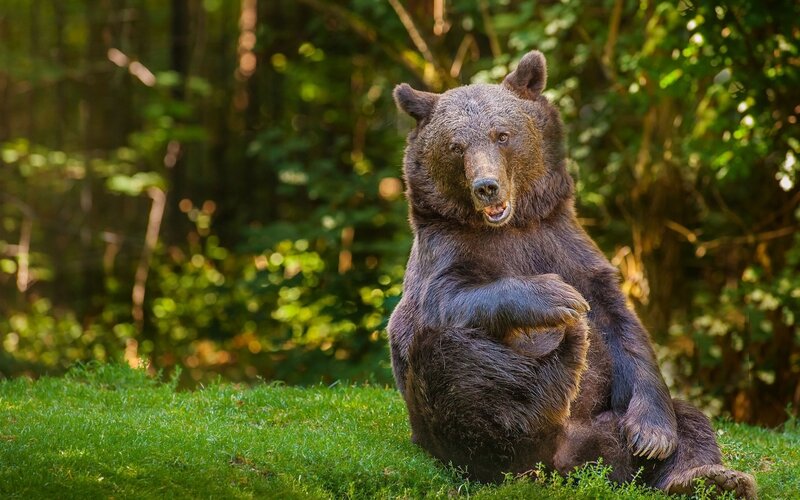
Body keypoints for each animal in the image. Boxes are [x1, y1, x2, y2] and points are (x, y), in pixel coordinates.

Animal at [387, 49, 757, 498]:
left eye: (502, 135)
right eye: (456, 146)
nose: (486, 186)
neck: (511, 225)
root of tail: (565, 463)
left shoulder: (563, 242)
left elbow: (621, 325)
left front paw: (653, 435)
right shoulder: (445, 251)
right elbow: (447, 298)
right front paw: (558, 299)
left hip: (607, 432)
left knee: (691, 421)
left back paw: (711, 477)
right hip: (447, 419)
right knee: (457, 363)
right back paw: (561, 360)